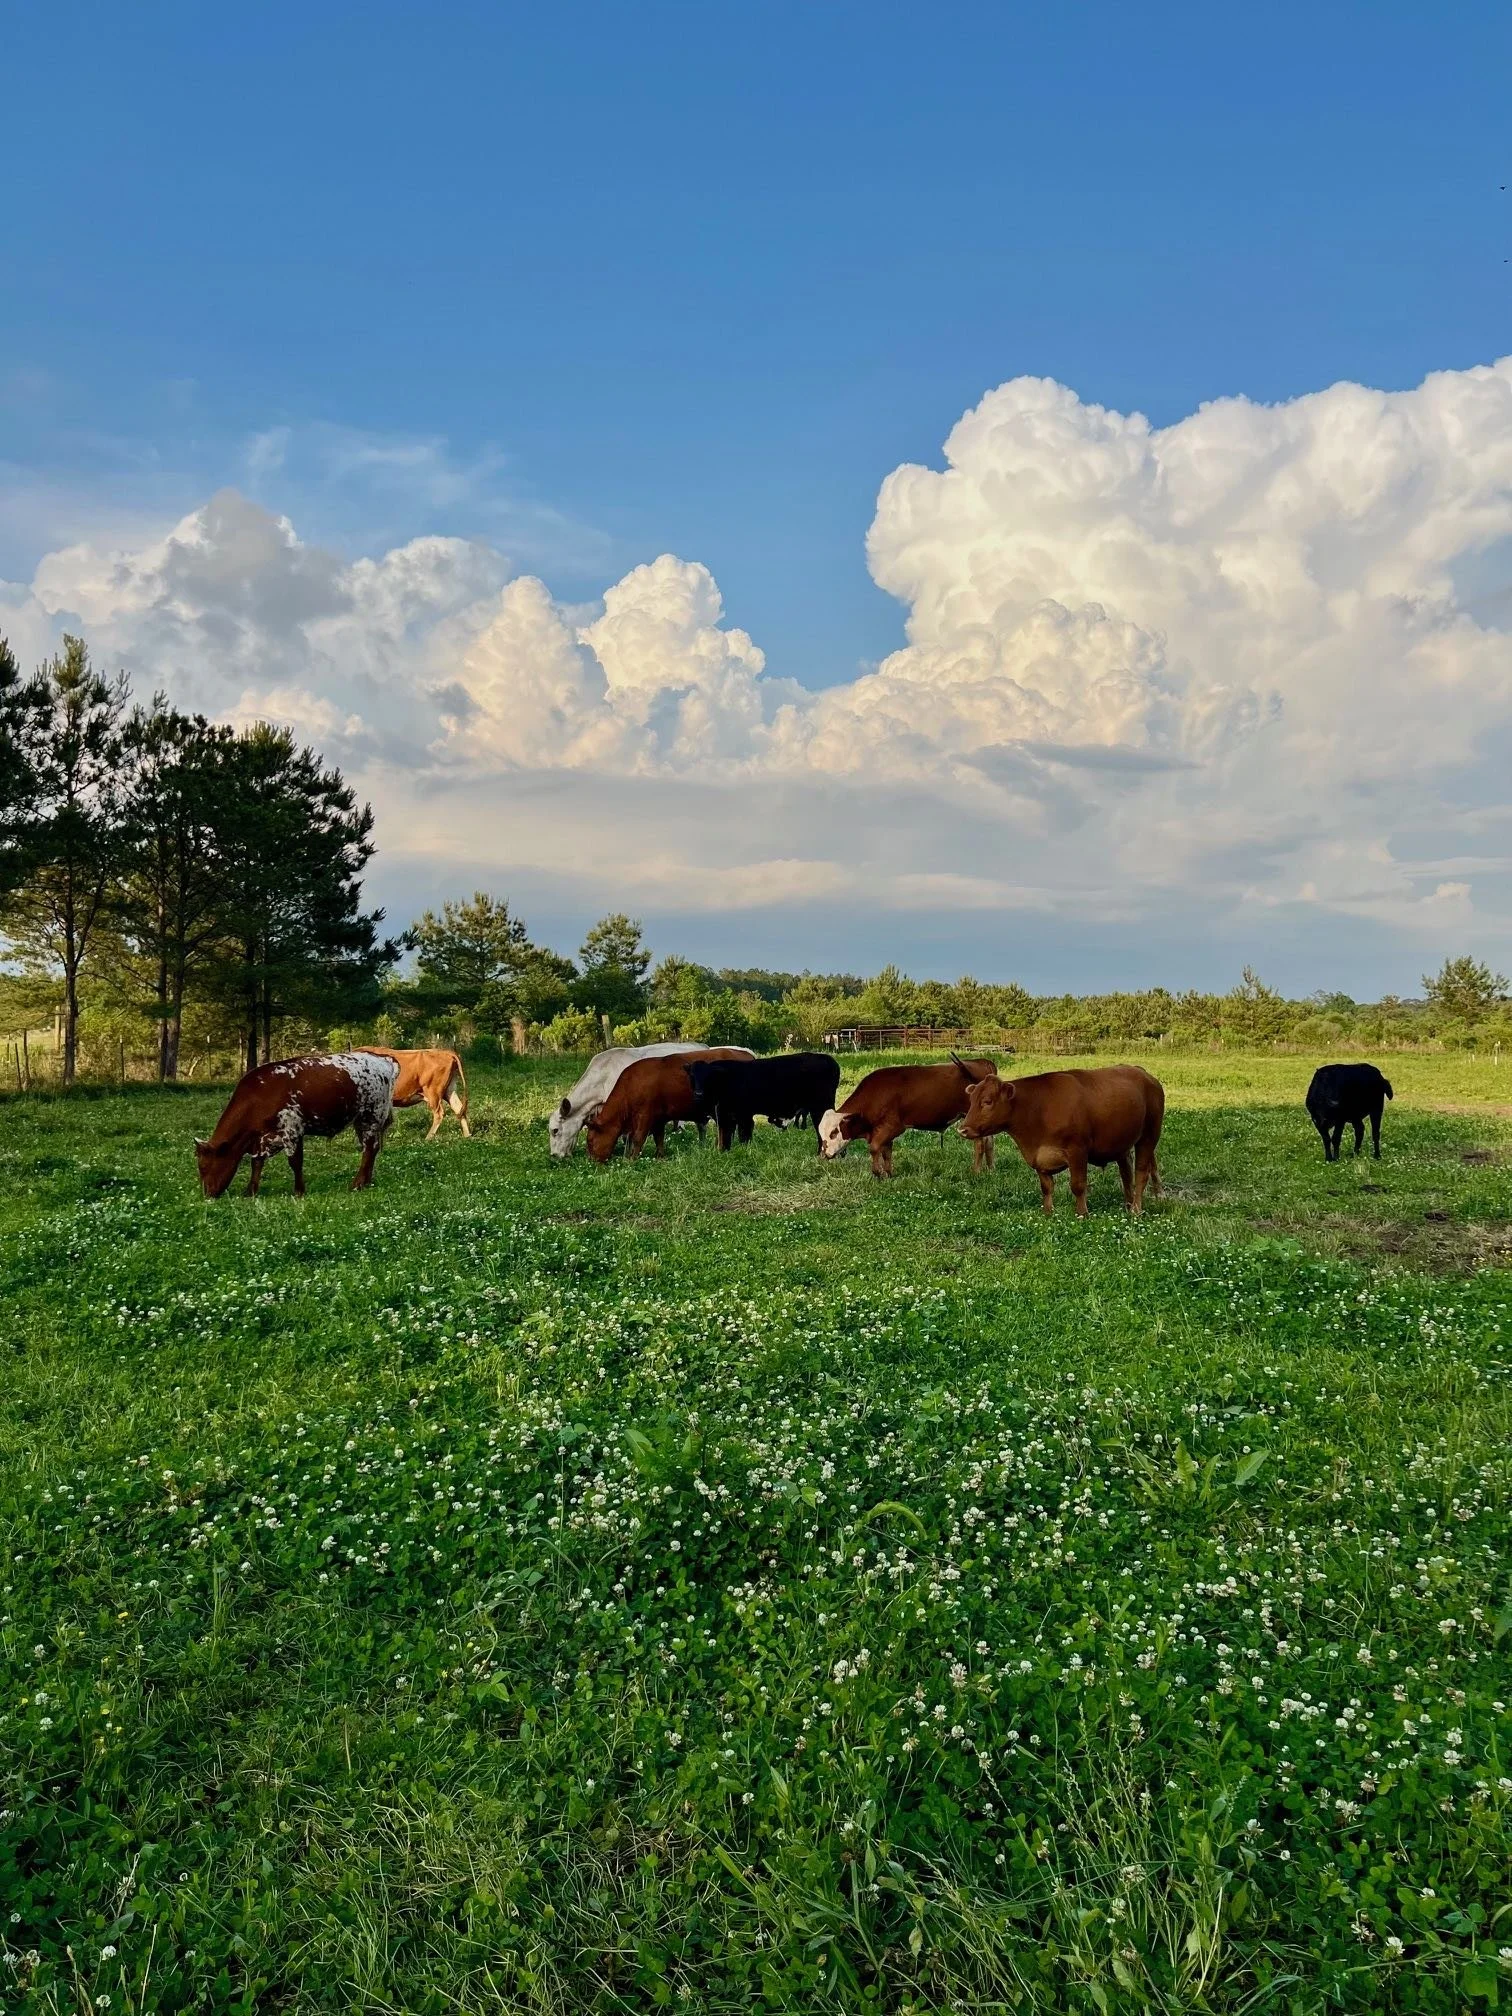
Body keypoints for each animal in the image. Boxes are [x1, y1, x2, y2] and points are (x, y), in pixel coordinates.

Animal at [194, 1052, 398, 1198]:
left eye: (203, 1166)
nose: (207, 1194)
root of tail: (383, 1058)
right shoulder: (262, 1139)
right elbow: (256, 1163)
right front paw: (250, 1191)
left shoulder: (291, 1130)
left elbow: (295, 1162)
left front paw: (299, 1191)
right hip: (361, 1120)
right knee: (370, 1149)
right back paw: (366, 1182)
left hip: (371, 1115)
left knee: (369, 1149)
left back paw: (357, 1184)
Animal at [685, 1052, 842, 1152]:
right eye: (692, 1076)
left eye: (709, 1077)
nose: (698, 1094)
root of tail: (828, 1059)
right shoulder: (731, 1116)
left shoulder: (741, 1115)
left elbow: (742, 1135)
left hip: (820, 1107)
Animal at [818, 1057, 1000, 1178]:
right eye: (821, 1133)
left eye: (834, 1132)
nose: (824, 1154)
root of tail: (981, 1062)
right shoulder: (884, 1131)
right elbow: (886, 1152)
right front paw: (888, 1174)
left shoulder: (892, 1127)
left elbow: (874, 1148)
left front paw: (878, 1173)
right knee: (989, 1143)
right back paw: (990, 1169)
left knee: (979, 1145)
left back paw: (976, 1172)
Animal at [959, 1065, 1165, 1217]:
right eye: (971, 1100)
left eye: (987, 1101)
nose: (963, 1129)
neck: (1038, 1109)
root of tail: (1143, 1073)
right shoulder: (1039, 1157)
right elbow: (1046, 1187)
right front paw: (1048, 1212)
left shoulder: (1077, 1150)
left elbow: (1078, 1185)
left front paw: (1082, 1214)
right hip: (1122, 1143)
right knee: (1126, 1173)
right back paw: (1128, 1204)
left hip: (1148, 1136)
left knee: (1140, 1173)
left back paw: (1136, 1209)